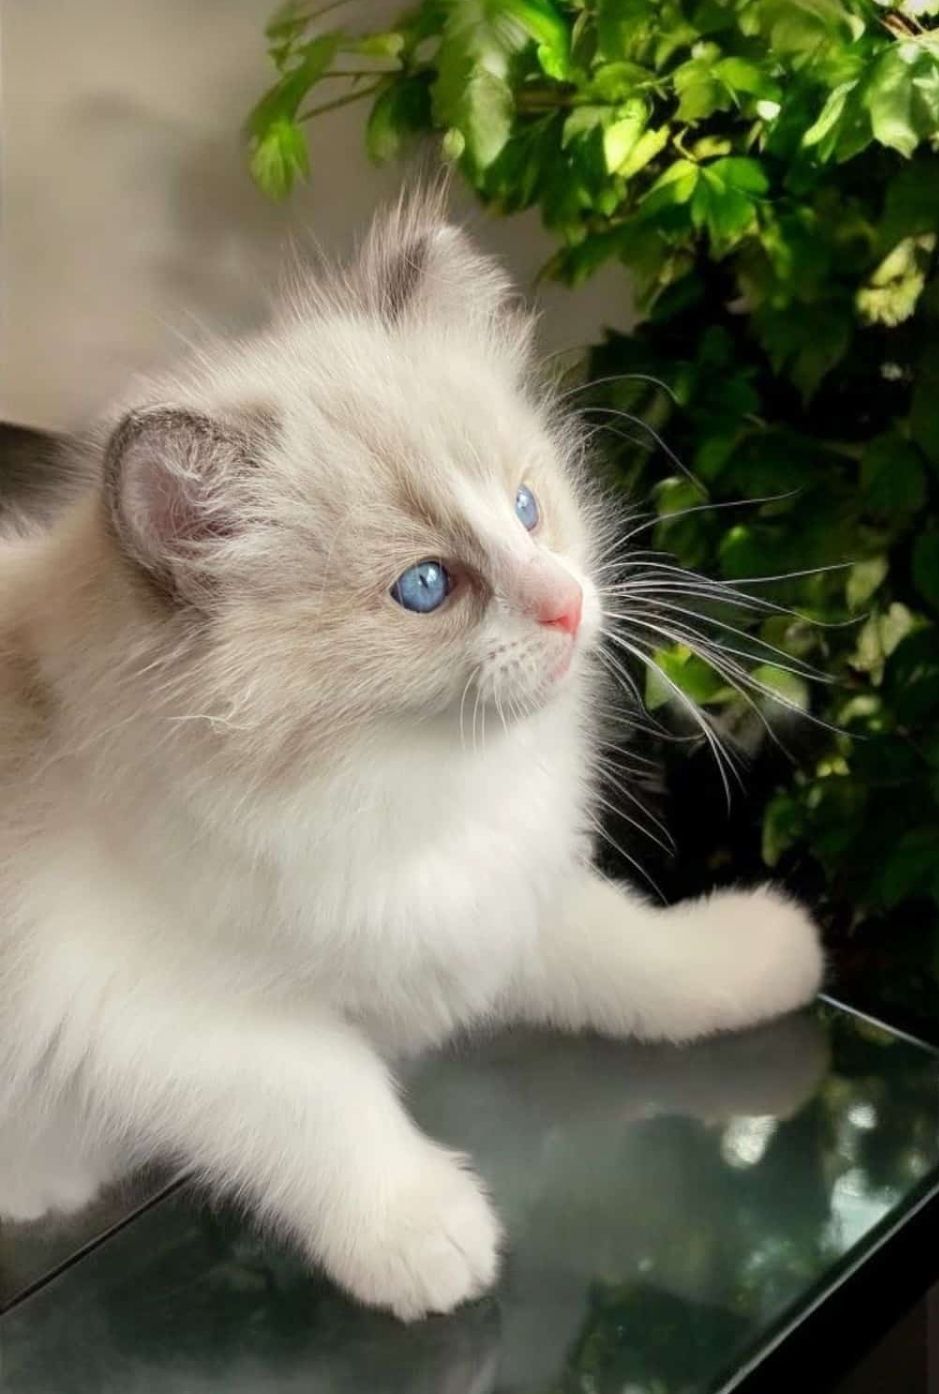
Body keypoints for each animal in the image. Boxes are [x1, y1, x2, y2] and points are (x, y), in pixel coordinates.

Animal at [0, 192, 823, 1320]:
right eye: (427, 587)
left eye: (526, 508)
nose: (567, 604)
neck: (409, 788)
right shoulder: (161, 1011)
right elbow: (325, 1099)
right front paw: (426, 1233)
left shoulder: (488, 903)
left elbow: (635, 954)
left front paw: (765, 954)